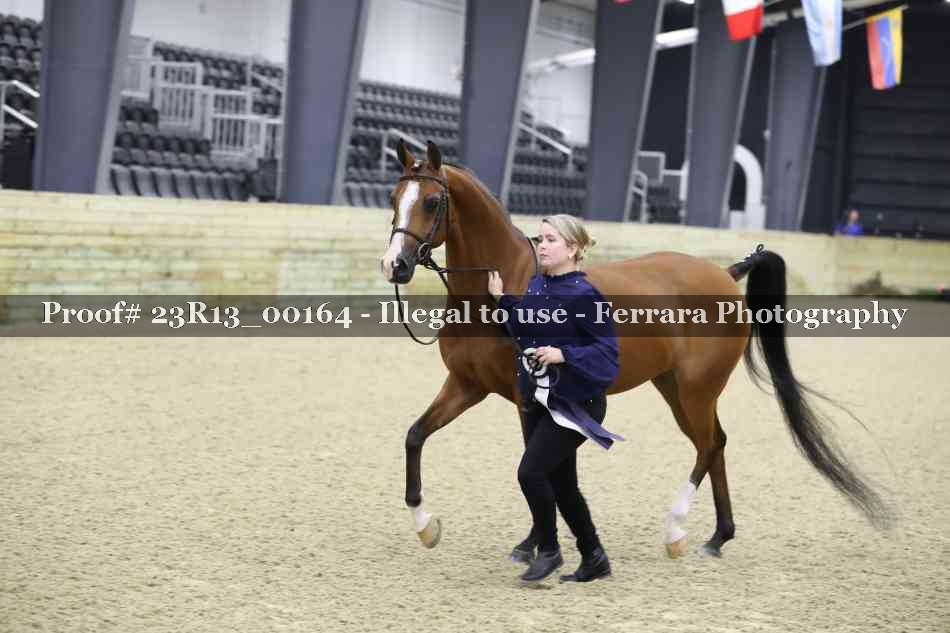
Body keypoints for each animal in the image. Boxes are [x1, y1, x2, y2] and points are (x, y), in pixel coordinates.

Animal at [379, 139, 891, 559]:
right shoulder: (467, 385)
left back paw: (677, 531)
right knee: (716, 445)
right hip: (675, 389)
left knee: (708, 446)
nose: (395, 265)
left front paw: (532, 544)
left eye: (431, 201)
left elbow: (535, 466)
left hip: (696, 390)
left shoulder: (530, 398)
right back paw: (717, 537)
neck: (502, 288)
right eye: (392, 199)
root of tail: (727, 274)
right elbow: (415, 436)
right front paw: (426, 525)